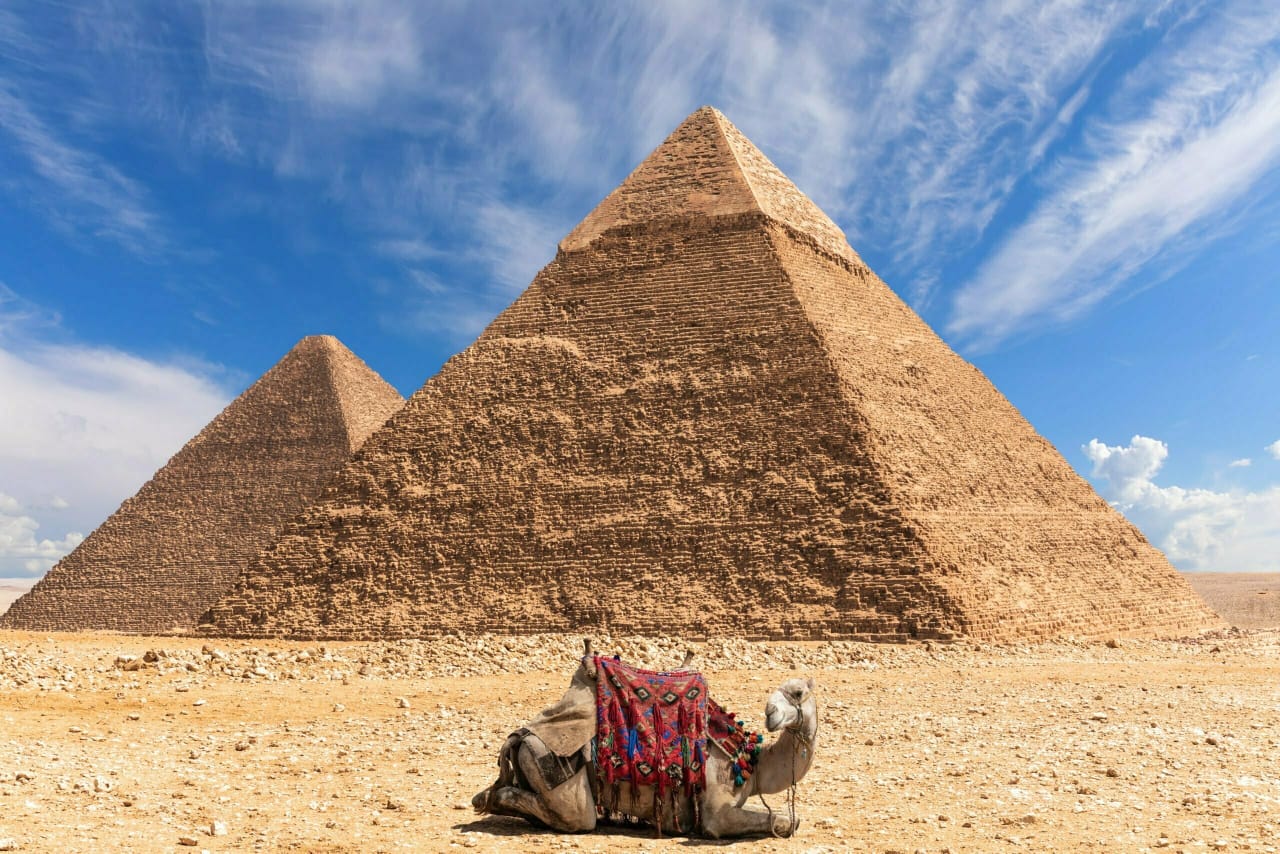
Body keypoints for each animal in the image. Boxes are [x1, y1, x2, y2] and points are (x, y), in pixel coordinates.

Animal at [472, 641, 818, 838]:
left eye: (798, 692)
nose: (771, 714)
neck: (750, 765)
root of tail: (519, 737)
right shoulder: (716, 814)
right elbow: (787, 821)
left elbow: (790, 818)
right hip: (553, 769)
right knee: (576, 817)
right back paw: (488, 799)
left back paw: (486, 797)